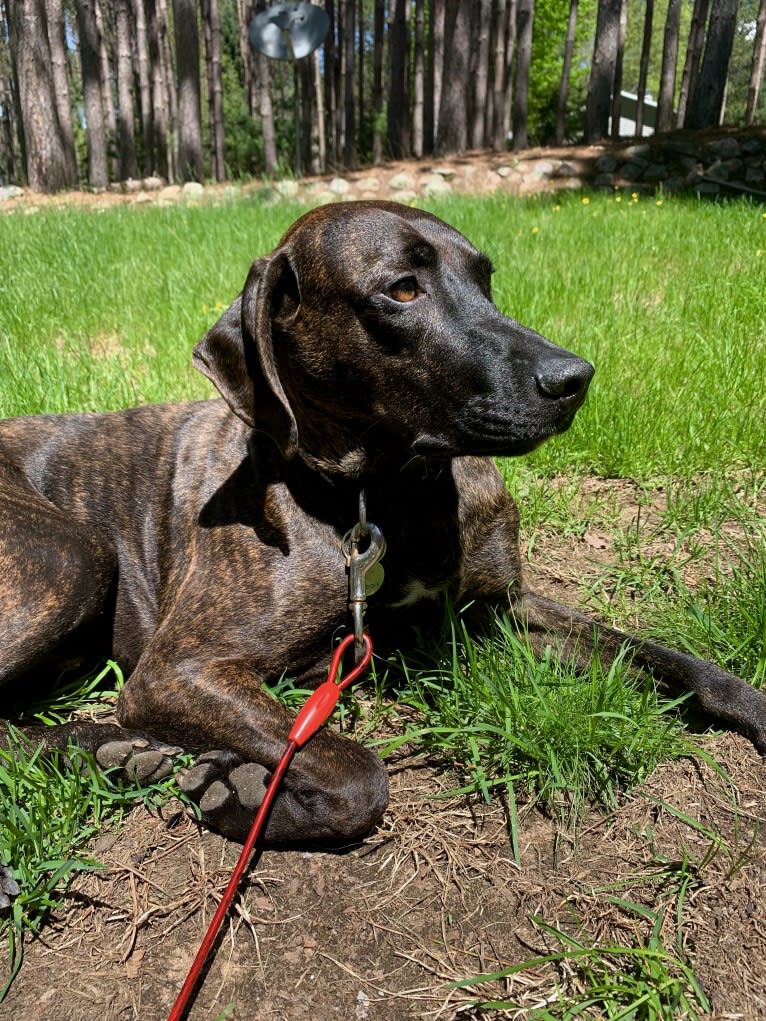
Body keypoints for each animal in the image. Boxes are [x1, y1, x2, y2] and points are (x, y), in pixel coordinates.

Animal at [1, 205, 766, 878]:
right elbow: (358, 771)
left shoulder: (504, 611)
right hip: (72, 557)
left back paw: (104, 749)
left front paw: (751, 703)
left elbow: (674, 661)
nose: (575, 378)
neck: (394, 494)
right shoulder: (179, 669)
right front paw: (244, 797)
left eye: (485, 278)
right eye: (402, 288)